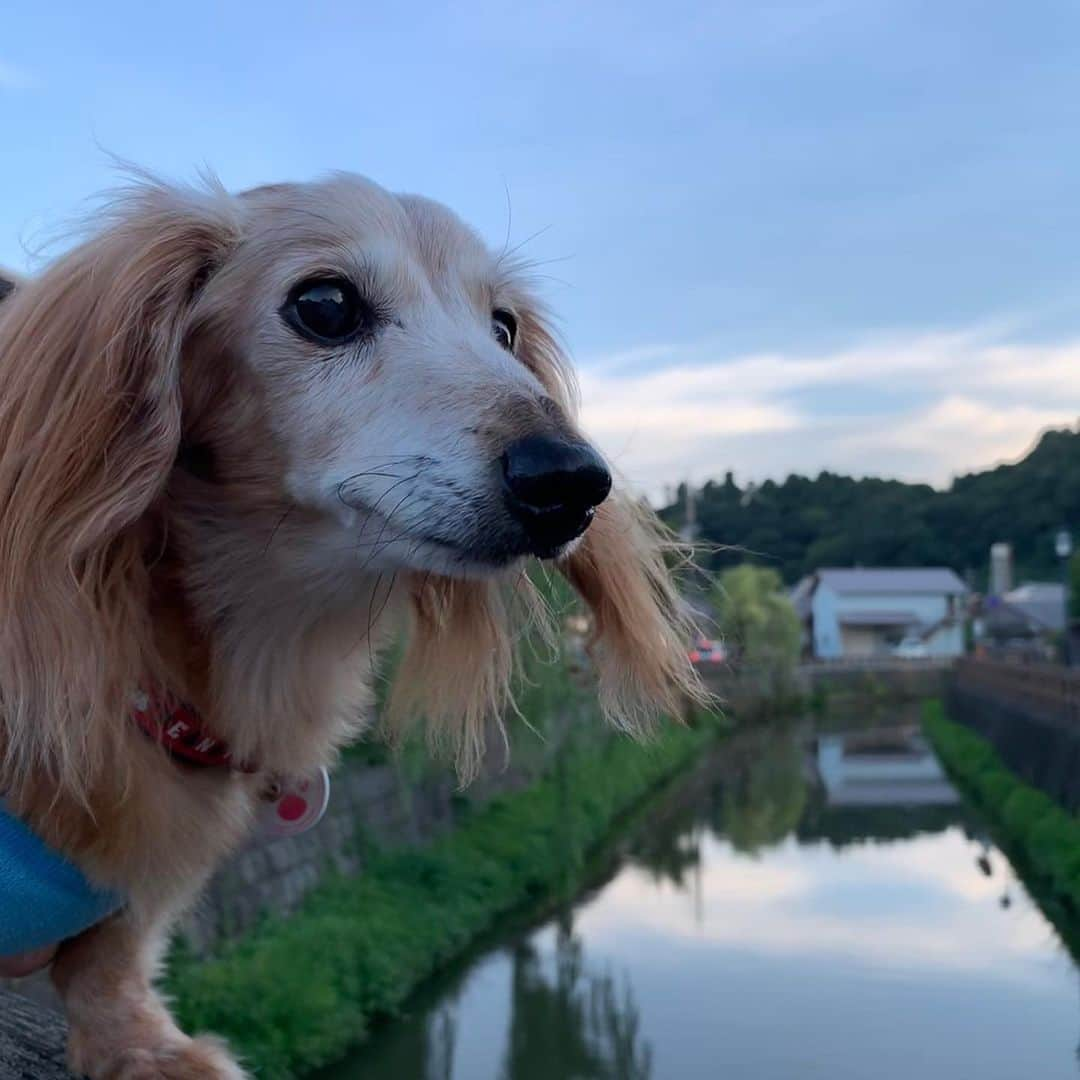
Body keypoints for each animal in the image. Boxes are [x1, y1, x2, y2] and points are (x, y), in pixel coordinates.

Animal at [0, 172, 699, 1075]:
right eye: (325, 304)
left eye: (503, 326)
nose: (573, 480)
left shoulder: (144, 873)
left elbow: (112, 950)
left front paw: (144, 1046)